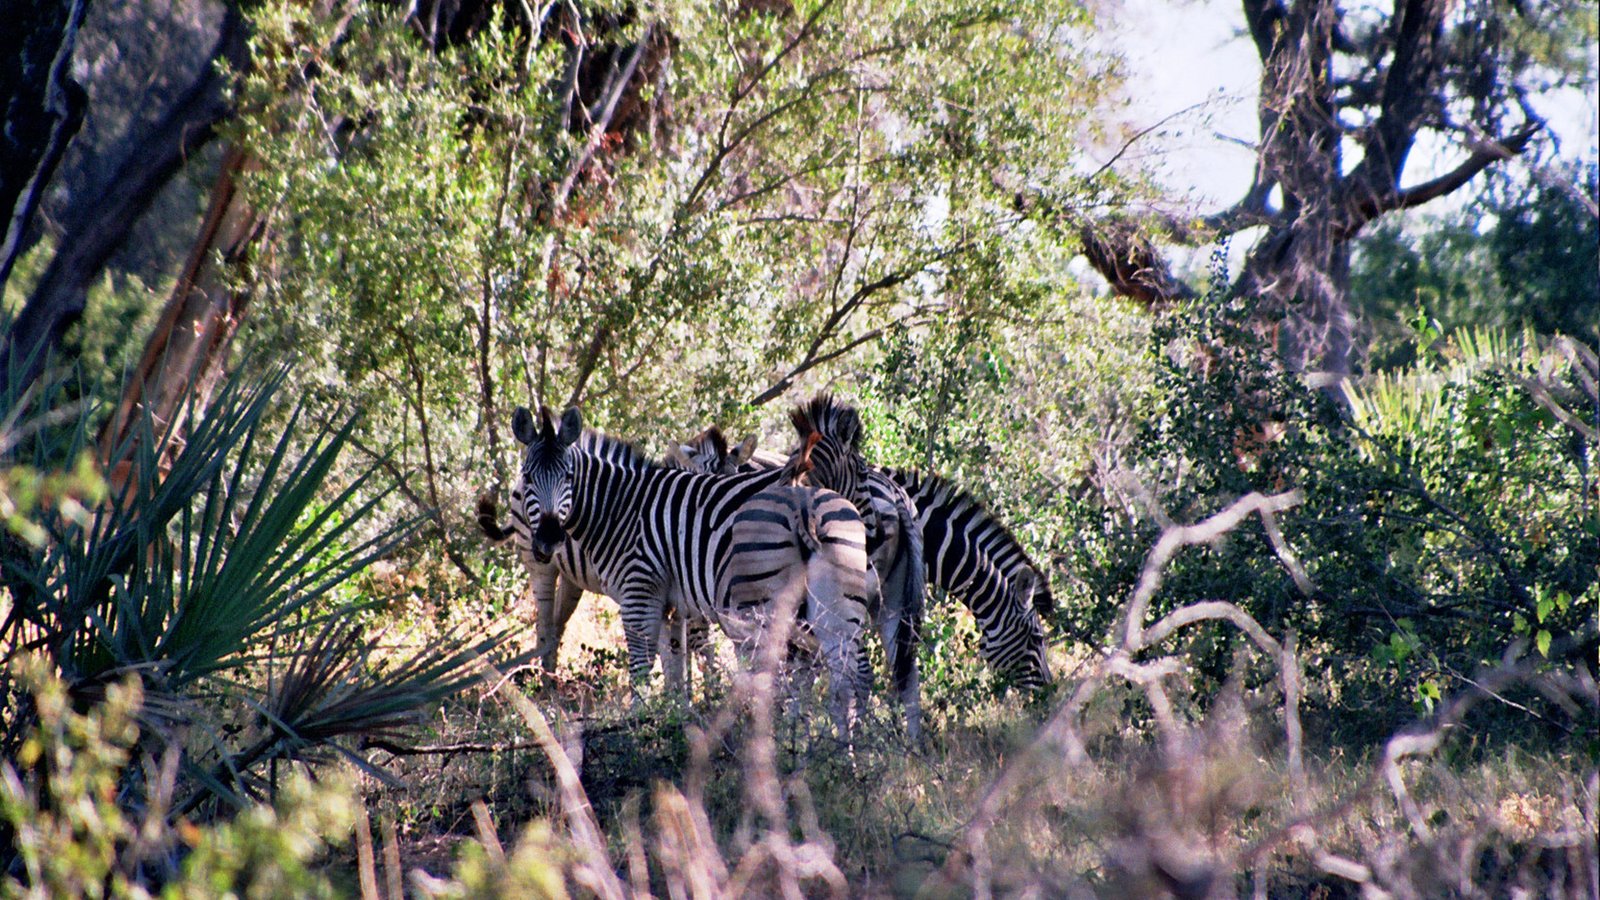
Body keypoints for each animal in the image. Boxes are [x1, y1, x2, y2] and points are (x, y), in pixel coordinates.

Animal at [511, 405, 876, 739]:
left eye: (568, 477)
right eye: (529, 477)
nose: (548, 539)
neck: (621, 509)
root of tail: (806, 505)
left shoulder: (639, 590)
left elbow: (643, 666)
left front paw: (640, 726)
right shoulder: (670, 601)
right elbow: (674, 661)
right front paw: (672, 717)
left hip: (763, 606)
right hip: (835, 602)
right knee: (846, 677)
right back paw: (843, 749)